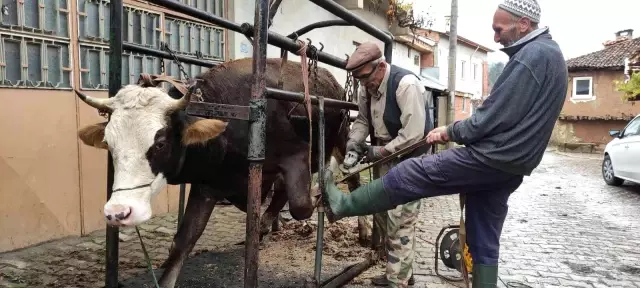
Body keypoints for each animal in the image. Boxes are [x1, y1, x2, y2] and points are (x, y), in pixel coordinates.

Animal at [75, 57, 360, 286]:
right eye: (109, 143)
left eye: (160, 143)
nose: (118, 212)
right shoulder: (209, 185)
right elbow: (184, 239)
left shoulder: (296, 155)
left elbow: (301, 206)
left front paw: (321, 197)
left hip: (343, 136)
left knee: (354, 176)